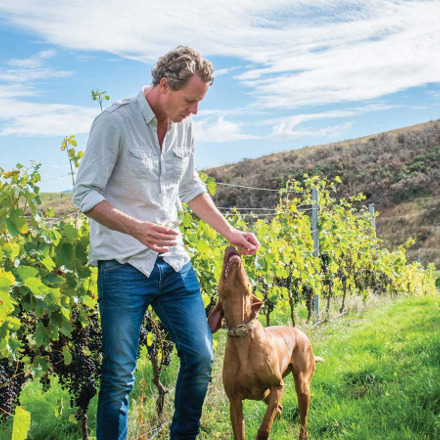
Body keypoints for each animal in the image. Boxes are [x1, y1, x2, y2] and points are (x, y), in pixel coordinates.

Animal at [208, 248, 322, 440]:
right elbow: (240, 432)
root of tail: (301, 333)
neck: (242, 331)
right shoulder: (234, 401)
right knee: (280, 407)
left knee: (302, 420)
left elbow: (264, 428)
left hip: (301, 387)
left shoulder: (277, 386)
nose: (232, 248)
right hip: (265, 394)